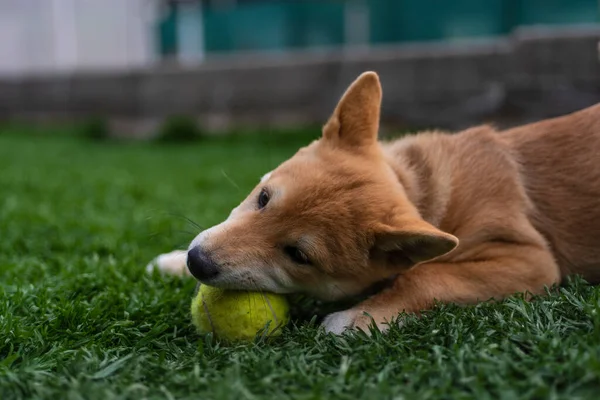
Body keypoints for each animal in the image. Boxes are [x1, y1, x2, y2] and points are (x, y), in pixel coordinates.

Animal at [148, 70, 600, 332]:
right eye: (262, 198)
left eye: (297, 255)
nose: (198, 262)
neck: (426, 192)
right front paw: (170, 262)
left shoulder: (529, 259)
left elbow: (425, 276)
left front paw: (357, 318)